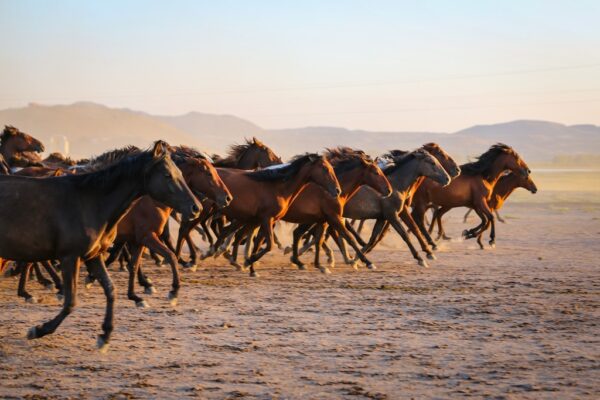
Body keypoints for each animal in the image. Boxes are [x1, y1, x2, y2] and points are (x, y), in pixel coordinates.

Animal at [0, 141, 202, 350]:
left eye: (180, 173)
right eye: (167, 175)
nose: (196, 208)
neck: (91, 202)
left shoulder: (94, 255)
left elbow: (111, 288)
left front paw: (105, 335)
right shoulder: (70, 257)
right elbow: (71, 302)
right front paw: (39, 330)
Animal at [209, 154, 340, 278]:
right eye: (325, 168)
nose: (337, 190)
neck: (278, 188)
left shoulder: (265, 220)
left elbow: (257, 244)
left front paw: (252, 270)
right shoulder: (267, 219)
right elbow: (269, 245)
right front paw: (248, 262)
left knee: (227, 232)